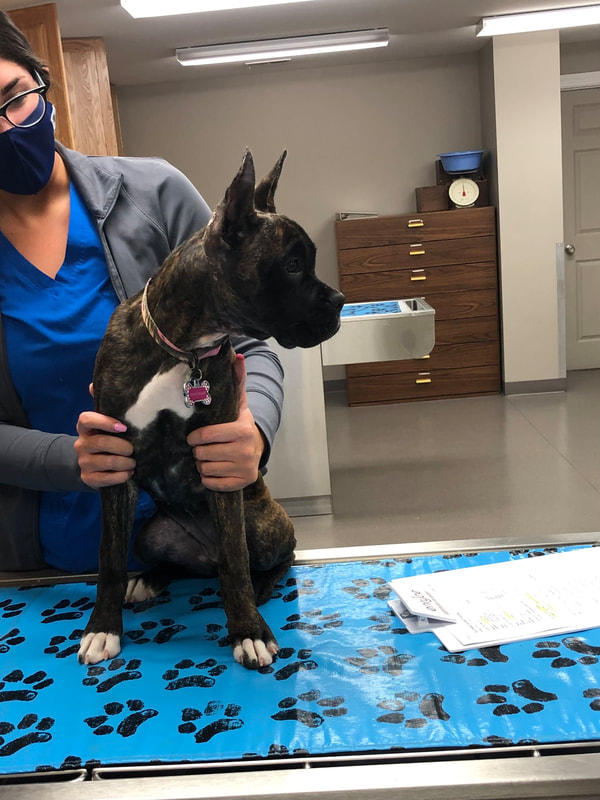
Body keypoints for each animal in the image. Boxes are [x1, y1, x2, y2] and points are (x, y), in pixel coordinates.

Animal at [77, 150, 344, 668]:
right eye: (293, 265)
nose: (340, 300)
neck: (182, 349)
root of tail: (203, 556)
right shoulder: (115, 462)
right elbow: (108, 558)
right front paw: (103, 627)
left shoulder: (220, 458)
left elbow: (236, 566)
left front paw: (248, 632)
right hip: (151, 533)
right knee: (180, 564)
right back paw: (151, 578)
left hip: (260, 522)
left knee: (271, 558)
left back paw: (259, 588)